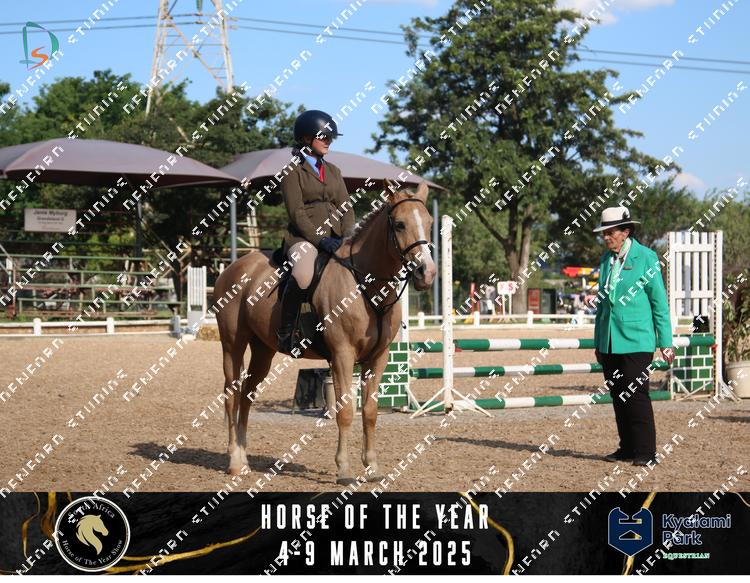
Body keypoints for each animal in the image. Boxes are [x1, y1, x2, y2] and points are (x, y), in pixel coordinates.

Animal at [213, 180, 436, 484]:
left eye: (429, 222)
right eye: (400, 224)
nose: (427, 273)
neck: (364, 284)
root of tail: (233, 268)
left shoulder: (378, 357)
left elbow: (370, 412)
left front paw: (372, 468)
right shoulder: (342, 355)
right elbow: (345, 411)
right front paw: (344, 469)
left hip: (263, 350)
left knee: (247, 394)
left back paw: (244, 457)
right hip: (233, 345)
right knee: (232, 394)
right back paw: (235, 461)